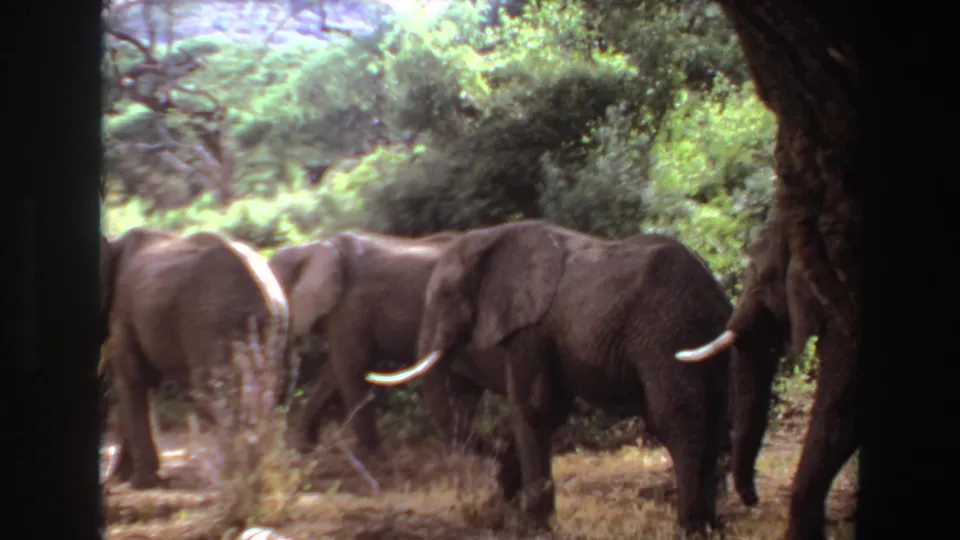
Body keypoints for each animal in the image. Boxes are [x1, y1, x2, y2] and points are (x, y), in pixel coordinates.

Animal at [100, 226, 292, 488]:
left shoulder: (121, 312)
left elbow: (132, 380)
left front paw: (141, 483)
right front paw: (123, 478)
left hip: (212, 319)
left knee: (214, 392)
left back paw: (237, 482)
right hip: (271, 327)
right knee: (264, 389)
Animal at [267, 229, 485, 454]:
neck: (311, 247)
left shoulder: (349, 307)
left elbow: (351, 368)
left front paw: (368, 456)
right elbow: (334, 374)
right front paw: (303, 447)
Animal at [364, 219, 770, 538]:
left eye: (447, 295)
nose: (489, 448)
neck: (493, 237)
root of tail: (713, 290)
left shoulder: (528, 329)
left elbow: (535, 408)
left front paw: (533, 526)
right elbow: (553, 409)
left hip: (668, 335)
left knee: (678, 422)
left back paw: (689, 529)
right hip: (701, 338)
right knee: (713, 422)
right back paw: (711, 528)